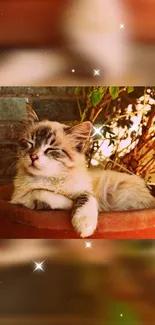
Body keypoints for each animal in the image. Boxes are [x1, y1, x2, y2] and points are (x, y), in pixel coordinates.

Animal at [10, 105, 154, 235]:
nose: (33, 156)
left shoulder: (85, 190)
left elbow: (87, 199)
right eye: (30, 143)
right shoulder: (19, 197)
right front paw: (69, 204)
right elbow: (41, 192)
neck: (53, 178)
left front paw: (84, 225)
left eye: (51, 149)